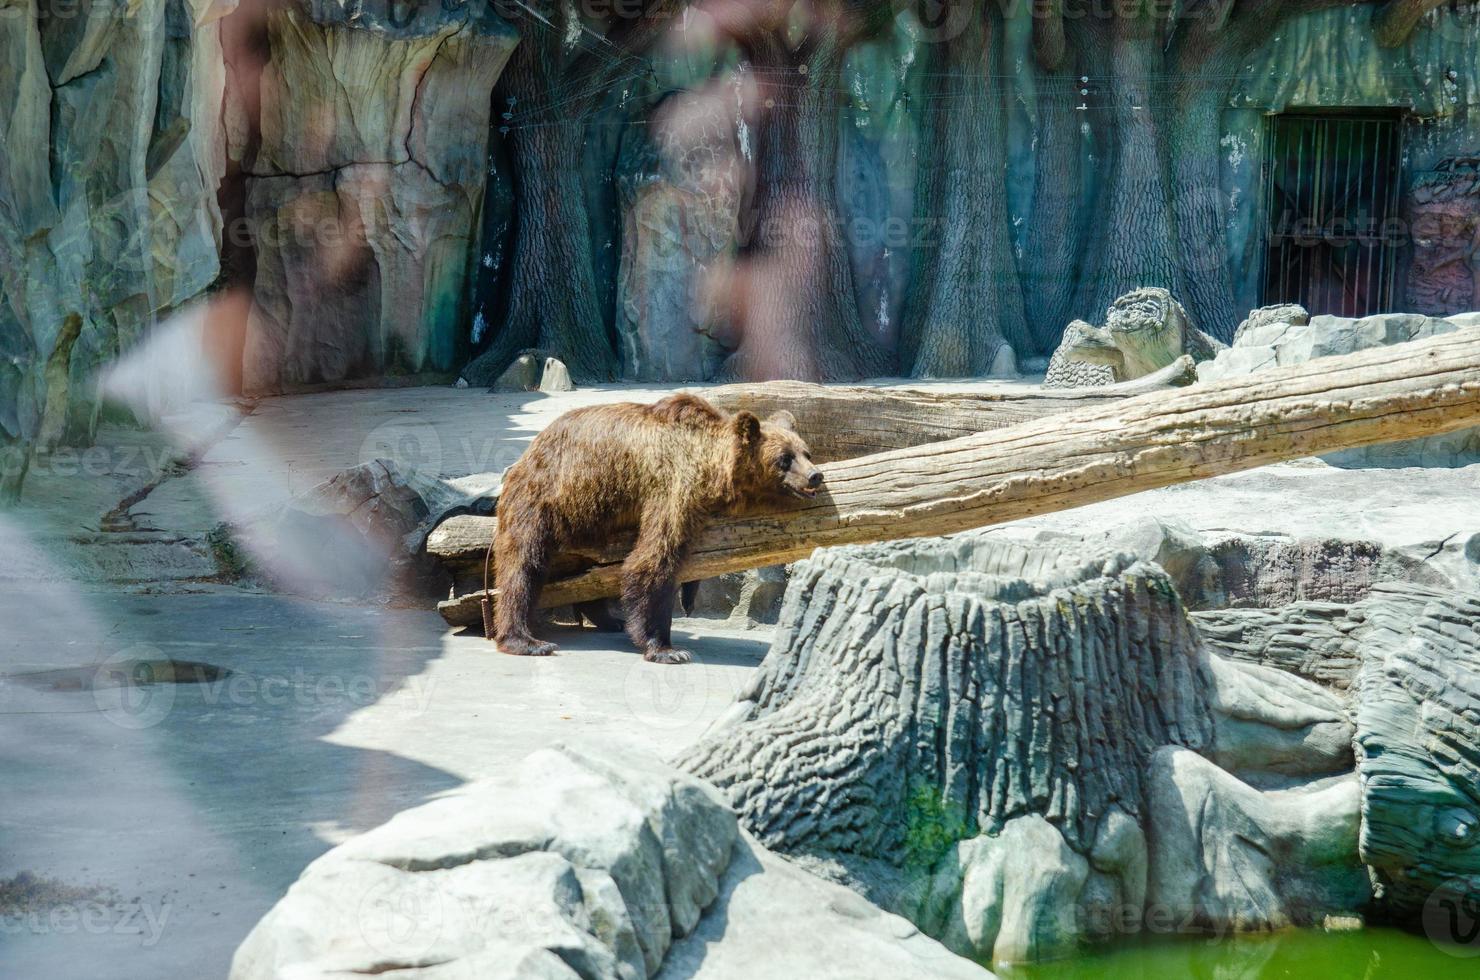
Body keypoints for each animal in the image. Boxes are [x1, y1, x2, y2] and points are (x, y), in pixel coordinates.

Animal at [494, 396, 822, 663]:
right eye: (784, 459)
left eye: (806, 452)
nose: (815, 476)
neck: (709, 468)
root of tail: (527, 454)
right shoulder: (672, 487)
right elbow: (653, 560)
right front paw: (666, 647)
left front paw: (689, 598)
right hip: (543, 498)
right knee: (523, 566)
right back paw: (526, 640)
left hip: (593, 512)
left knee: (590, 570)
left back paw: (607, 618)